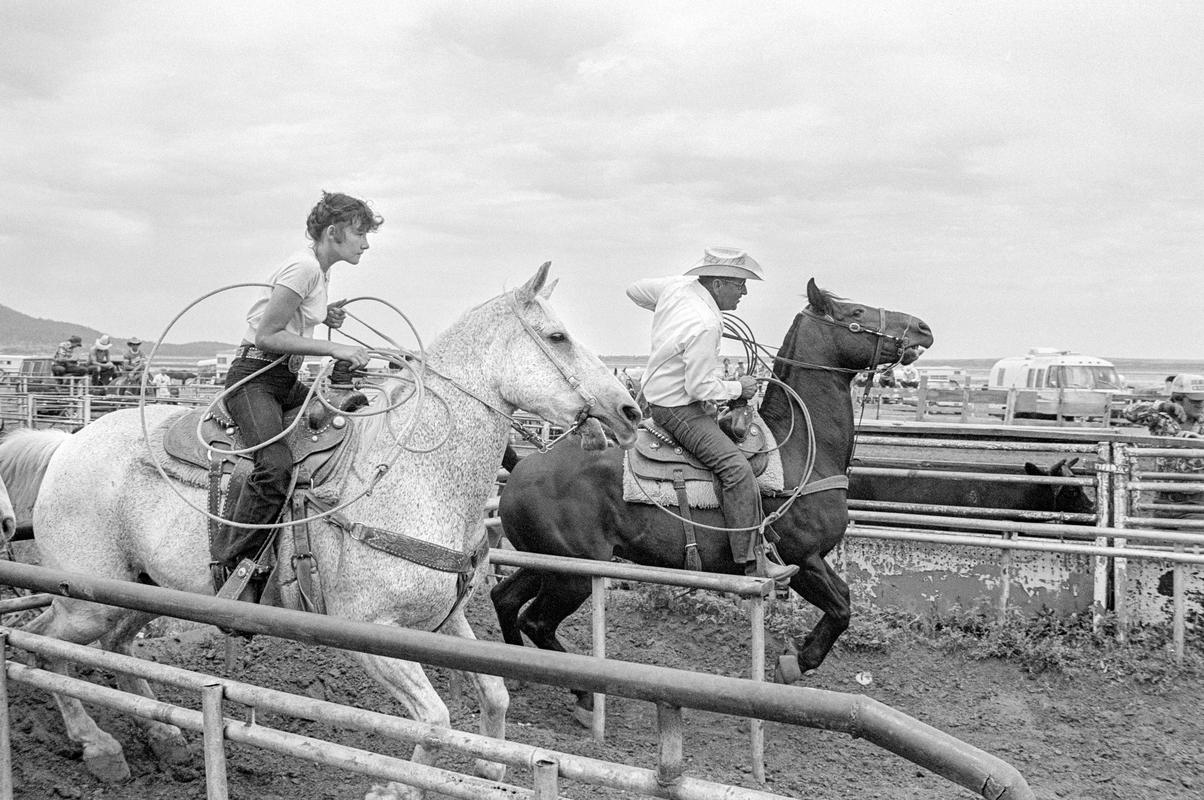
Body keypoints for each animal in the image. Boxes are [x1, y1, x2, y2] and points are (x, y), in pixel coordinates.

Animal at [493, 278, 934, 713]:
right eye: (855, 312)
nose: (922, 327)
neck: (799, 452)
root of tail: (521, 469)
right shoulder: (801, 559)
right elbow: (842, 607)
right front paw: (794, 663)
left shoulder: (810, 561)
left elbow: (843, 602)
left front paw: (797, 657)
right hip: (574, 573)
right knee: (536, 620)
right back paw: (582, 693)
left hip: (545, 563)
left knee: (505, 598)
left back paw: (516, 670)